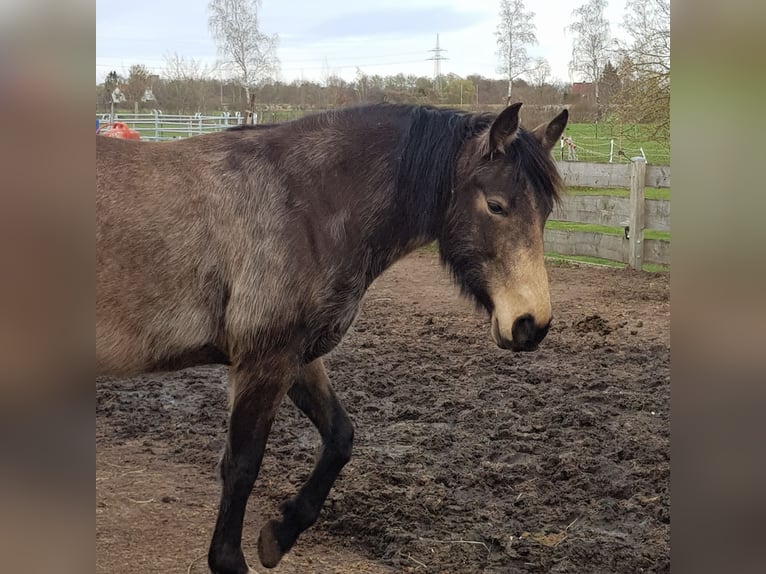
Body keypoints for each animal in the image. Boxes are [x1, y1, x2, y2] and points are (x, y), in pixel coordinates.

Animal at [96, 101, 568, 572]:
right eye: (496, 205)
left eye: (545, 211)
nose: (531, 324)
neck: (305, 205)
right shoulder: (263, 362)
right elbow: (242, 465)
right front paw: (229, 558)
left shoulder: (299, 358)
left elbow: (341, 438)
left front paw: (279, 534)